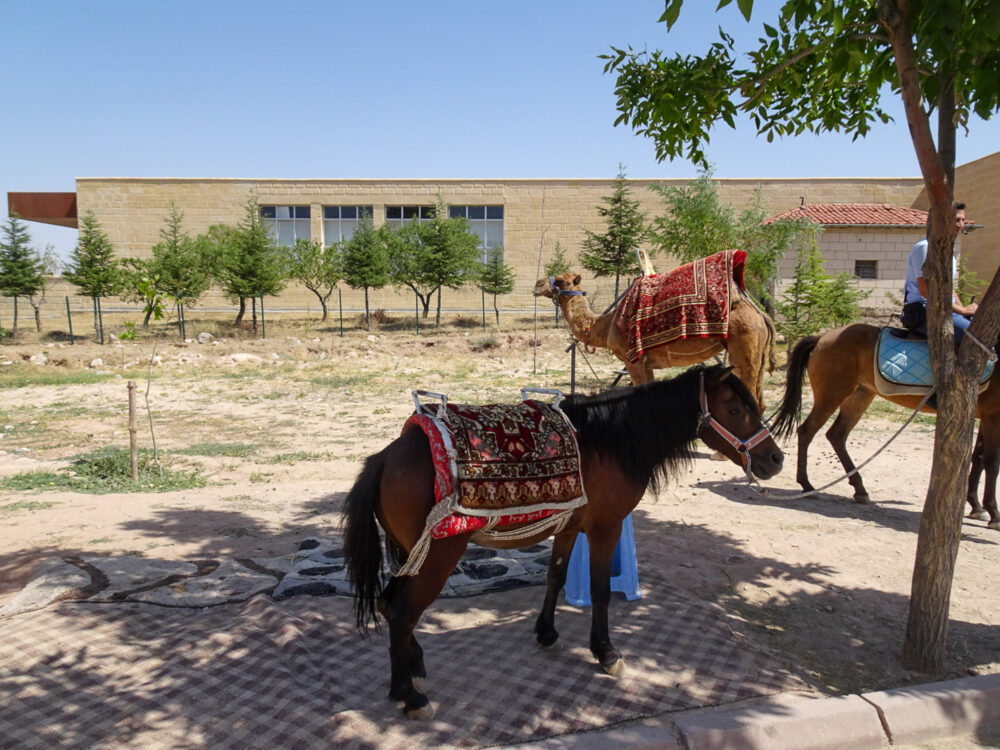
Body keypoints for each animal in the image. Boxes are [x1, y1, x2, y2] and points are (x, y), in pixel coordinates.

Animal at [344, 368, 780, 720]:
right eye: (735, 411)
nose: (774, 460)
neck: (609, 440)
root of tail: (384, 458)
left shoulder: (569, 527)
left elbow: (555, 576)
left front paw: (547, 633)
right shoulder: (606, 528)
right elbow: (600, 590)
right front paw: (606, 652)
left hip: (413, 554)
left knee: (390, 604)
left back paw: (414, 665)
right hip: (438, 557)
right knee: (402, 610)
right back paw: (408, 695)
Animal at [536, 272, 776, 412]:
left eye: (561, 280)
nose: (537, 284)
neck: (607, 324)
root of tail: (761, 315)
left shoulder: (633, 361)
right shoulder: (646, 363)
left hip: (743, 342)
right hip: (757, 350)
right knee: (759, 393)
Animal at [772, 324, 1000, 528]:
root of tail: (823, 337)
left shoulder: (983, 417)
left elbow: (978, 458)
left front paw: (977, 507)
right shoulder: (992, 416)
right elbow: (991, 462)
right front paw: (993, 514)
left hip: (860, 395)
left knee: (837, 435)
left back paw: (859, 489)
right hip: (832, 395)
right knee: (807, 431)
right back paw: (807, 484)